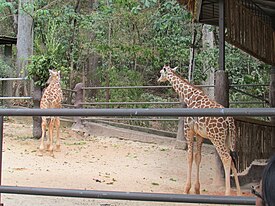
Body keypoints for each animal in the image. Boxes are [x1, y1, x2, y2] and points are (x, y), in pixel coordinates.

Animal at [157, 65, 242, 196]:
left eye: (161, 72)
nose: (158, 80)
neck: (188, 96)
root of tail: (229, 120)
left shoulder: (188, 130)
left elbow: (189, 156)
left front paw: (186, 189)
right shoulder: (200, 134)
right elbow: (198, 157)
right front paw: (197, 189)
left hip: (217, 138)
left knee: (226, 159)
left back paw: (227, 194)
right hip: (228, 138)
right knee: (233, 159)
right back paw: (239, 193)